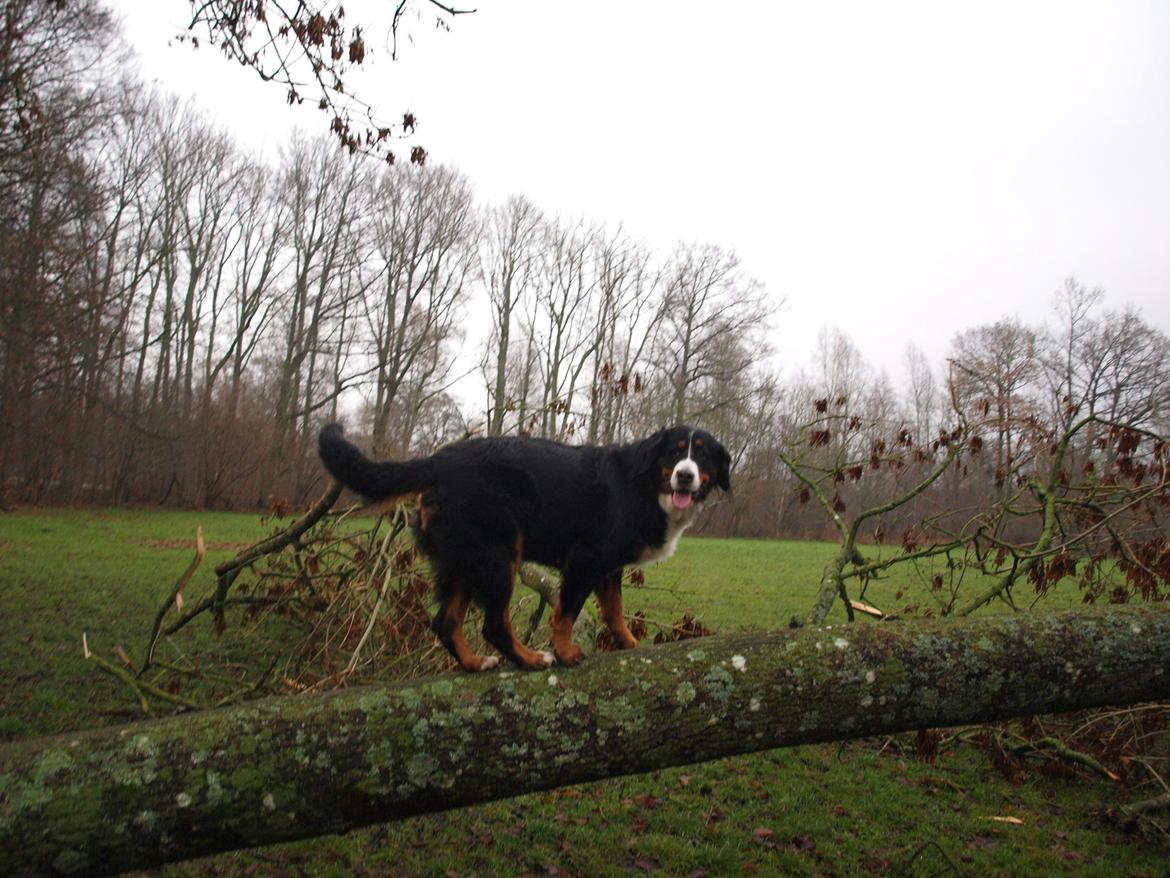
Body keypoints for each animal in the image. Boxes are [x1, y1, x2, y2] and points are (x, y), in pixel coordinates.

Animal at [315, 426, 725, 674]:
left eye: (702, 457)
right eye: (674, 453)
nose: (685, 475)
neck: (643, 484)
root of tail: (440, 459)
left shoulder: (609, 568)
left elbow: (614, 611)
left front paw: (628, 643)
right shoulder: (585, 558)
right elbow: (566, 613)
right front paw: (566, 652)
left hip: (462, 563)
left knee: (446, 621)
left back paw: (474, 663)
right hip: (498, 555)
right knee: (495, 624)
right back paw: (530, 659)